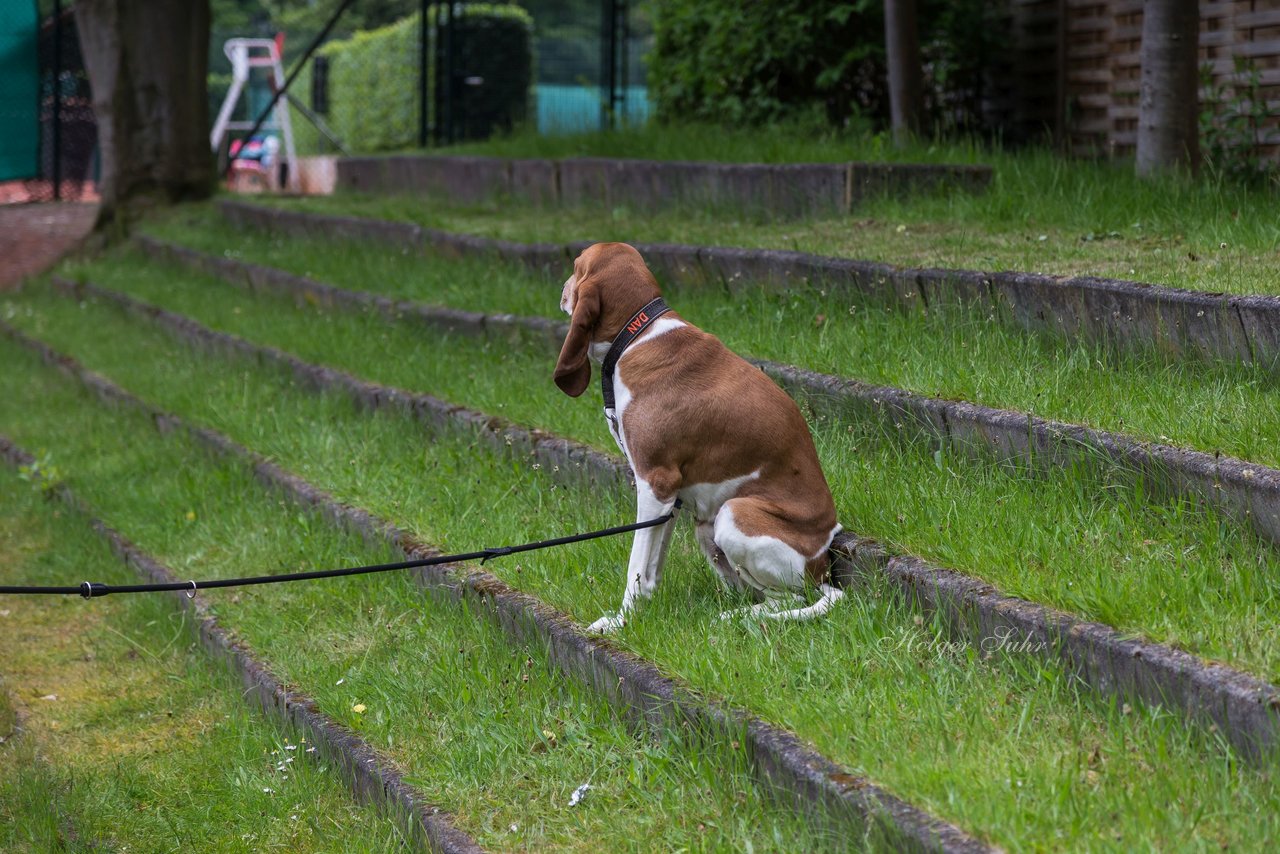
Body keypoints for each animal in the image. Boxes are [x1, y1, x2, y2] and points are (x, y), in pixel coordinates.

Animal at [555, 243, 844, 632]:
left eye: (575, 267)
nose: (562, 289)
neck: (639, 336)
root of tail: (821, 564)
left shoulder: (655, 484)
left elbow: (635, 567)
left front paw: (623, 621)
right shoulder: (668, 499)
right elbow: (650, 571)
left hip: (733, 514)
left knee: (792, 599)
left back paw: (735, 618)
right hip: (706, 528)